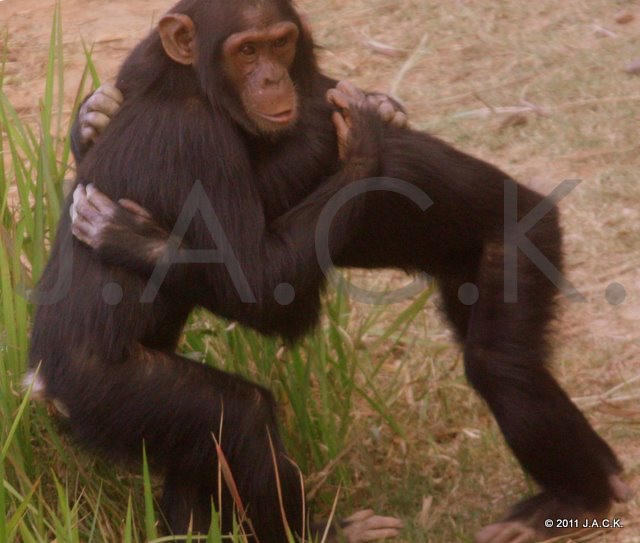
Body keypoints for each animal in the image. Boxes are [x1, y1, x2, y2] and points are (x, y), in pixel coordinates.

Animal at [26, 1, 632, 543]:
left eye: (279, 43)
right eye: (246, 51)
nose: (271, 78)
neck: (188, 88)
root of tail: (38, 386)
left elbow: (264, 285)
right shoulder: (195, 129)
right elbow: (262, 283)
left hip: (524, 245)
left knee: (500, 365)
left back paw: (576, 495)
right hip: (107, 391)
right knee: (233, 418)